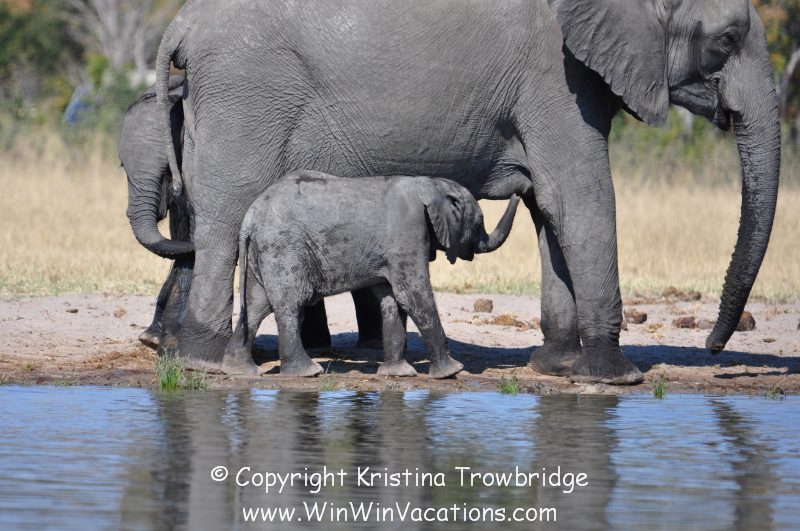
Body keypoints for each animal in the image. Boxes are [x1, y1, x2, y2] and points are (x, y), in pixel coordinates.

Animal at [222, 171, 520, 378]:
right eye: (479, 222)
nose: (519, 192)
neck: (431, 184)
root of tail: (250, 216)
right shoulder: (407, 234)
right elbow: (413, 295)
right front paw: (452, 372)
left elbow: (391, 301)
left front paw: (397, 374)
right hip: (283, 248)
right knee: (289, 305)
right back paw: (308, 372)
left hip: (265, 251)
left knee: (256, 306)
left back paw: (239, 371)